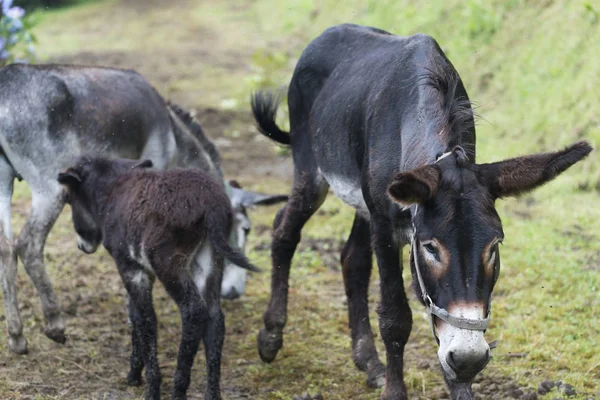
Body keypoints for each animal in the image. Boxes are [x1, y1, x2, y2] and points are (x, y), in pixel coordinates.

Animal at [54, 156, 255, 400]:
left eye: (68, 199)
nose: (82, 246)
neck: (112, 192)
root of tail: (211, 204)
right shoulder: (141, 271)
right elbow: (135, 316)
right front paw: (134, 374)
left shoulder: (130, 268)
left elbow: (145, 320)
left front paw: (150, 386)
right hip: (210, 261)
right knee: (215, 318)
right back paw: (212, 394)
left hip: (168, 263)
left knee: (193, 310)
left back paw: (179, 390)